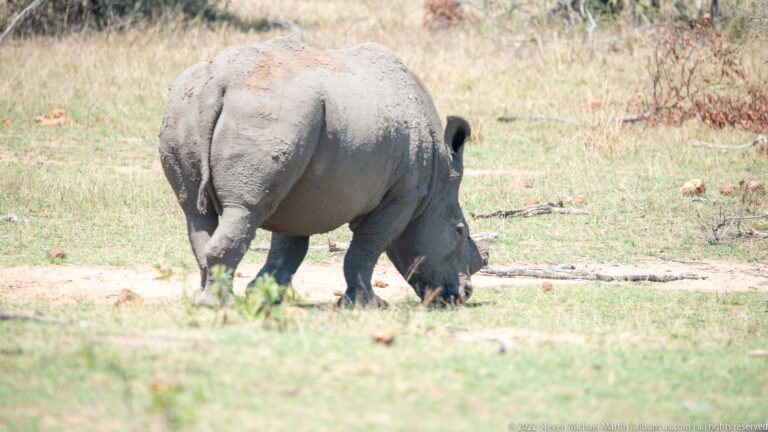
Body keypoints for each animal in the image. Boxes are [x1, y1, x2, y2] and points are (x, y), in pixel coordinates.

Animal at [158, 36, 486, 307]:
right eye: (459, 231)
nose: (464, 294)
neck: (437, 181)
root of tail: (218, 81)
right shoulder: (403, 195)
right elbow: (366, 249)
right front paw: (367, 305)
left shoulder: (299, 192)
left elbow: (290, 246)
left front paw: (266, 296)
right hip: (272, 112)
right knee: (245, 209)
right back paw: (220, 305)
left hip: (187, 105)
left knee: (195, 212)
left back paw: (204, 299)